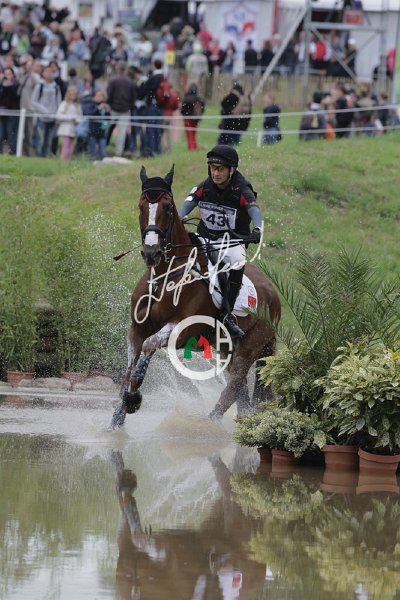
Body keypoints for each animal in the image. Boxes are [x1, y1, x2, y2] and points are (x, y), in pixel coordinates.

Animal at [111, 165, 281, 428]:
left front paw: (133, 399)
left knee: (233, 387)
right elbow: (129, 367)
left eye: (168, 208)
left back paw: (208, 424)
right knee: (239, 390)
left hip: (250, 347)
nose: (151, 253)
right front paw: (117, 418)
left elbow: (149, 347)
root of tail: (275, 296)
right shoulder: (136, 328)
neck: (165, 275)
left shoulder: (180, 331)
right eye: (141, 207)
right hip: (225, 348)